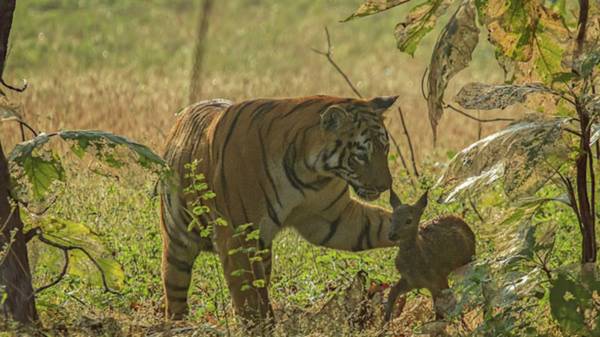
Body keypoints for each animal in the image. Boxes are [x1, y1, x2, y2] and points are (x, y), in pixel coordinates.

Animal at [159, 94, 404, 322]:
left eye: (385, 147)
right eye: (361, 155)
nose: (386, 185)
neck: (311, 173)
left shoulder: (333, 218)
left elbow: (378, 226)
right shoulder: (237, 236)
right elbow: (248, 297)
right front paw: (259, 327)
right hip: (178, 240)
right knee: (175, 286)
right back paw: (178, 324)